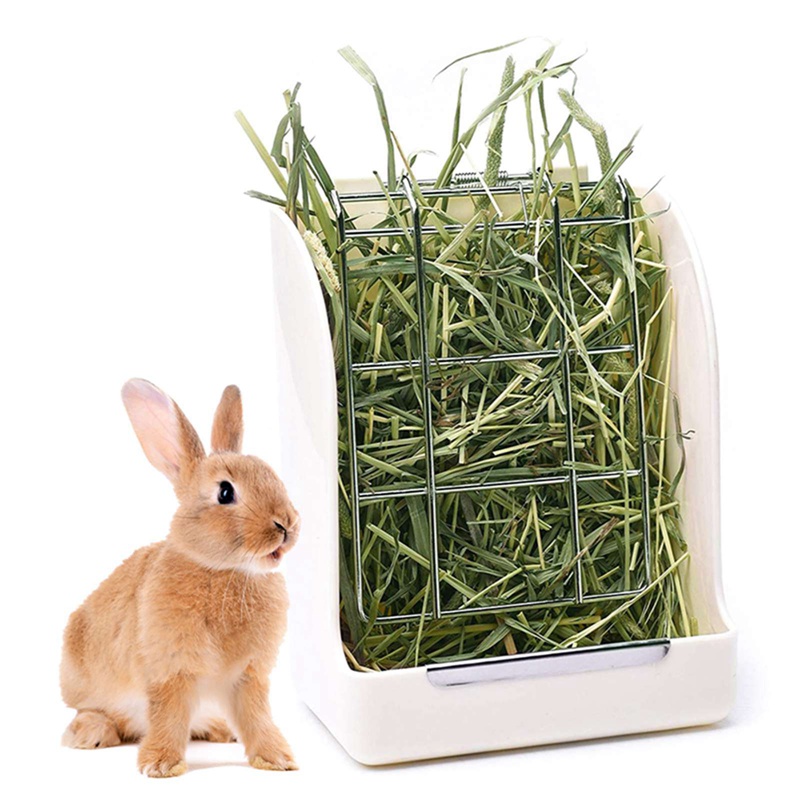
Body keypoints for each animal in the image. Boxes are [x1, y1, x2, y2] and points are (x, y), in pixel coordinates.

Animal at [60, 378, 300, 777]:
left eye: (271, 473)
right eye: (225, 492)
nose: (286, 524)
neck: (223, 570)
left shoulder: (248, 677)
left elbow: (257, 718)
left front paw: (277, 760)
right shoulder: (171, 669)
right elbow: (169, 715)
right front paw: (160, 766)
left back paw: (220, 730)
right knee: (91, 711)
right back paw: (90, 734)